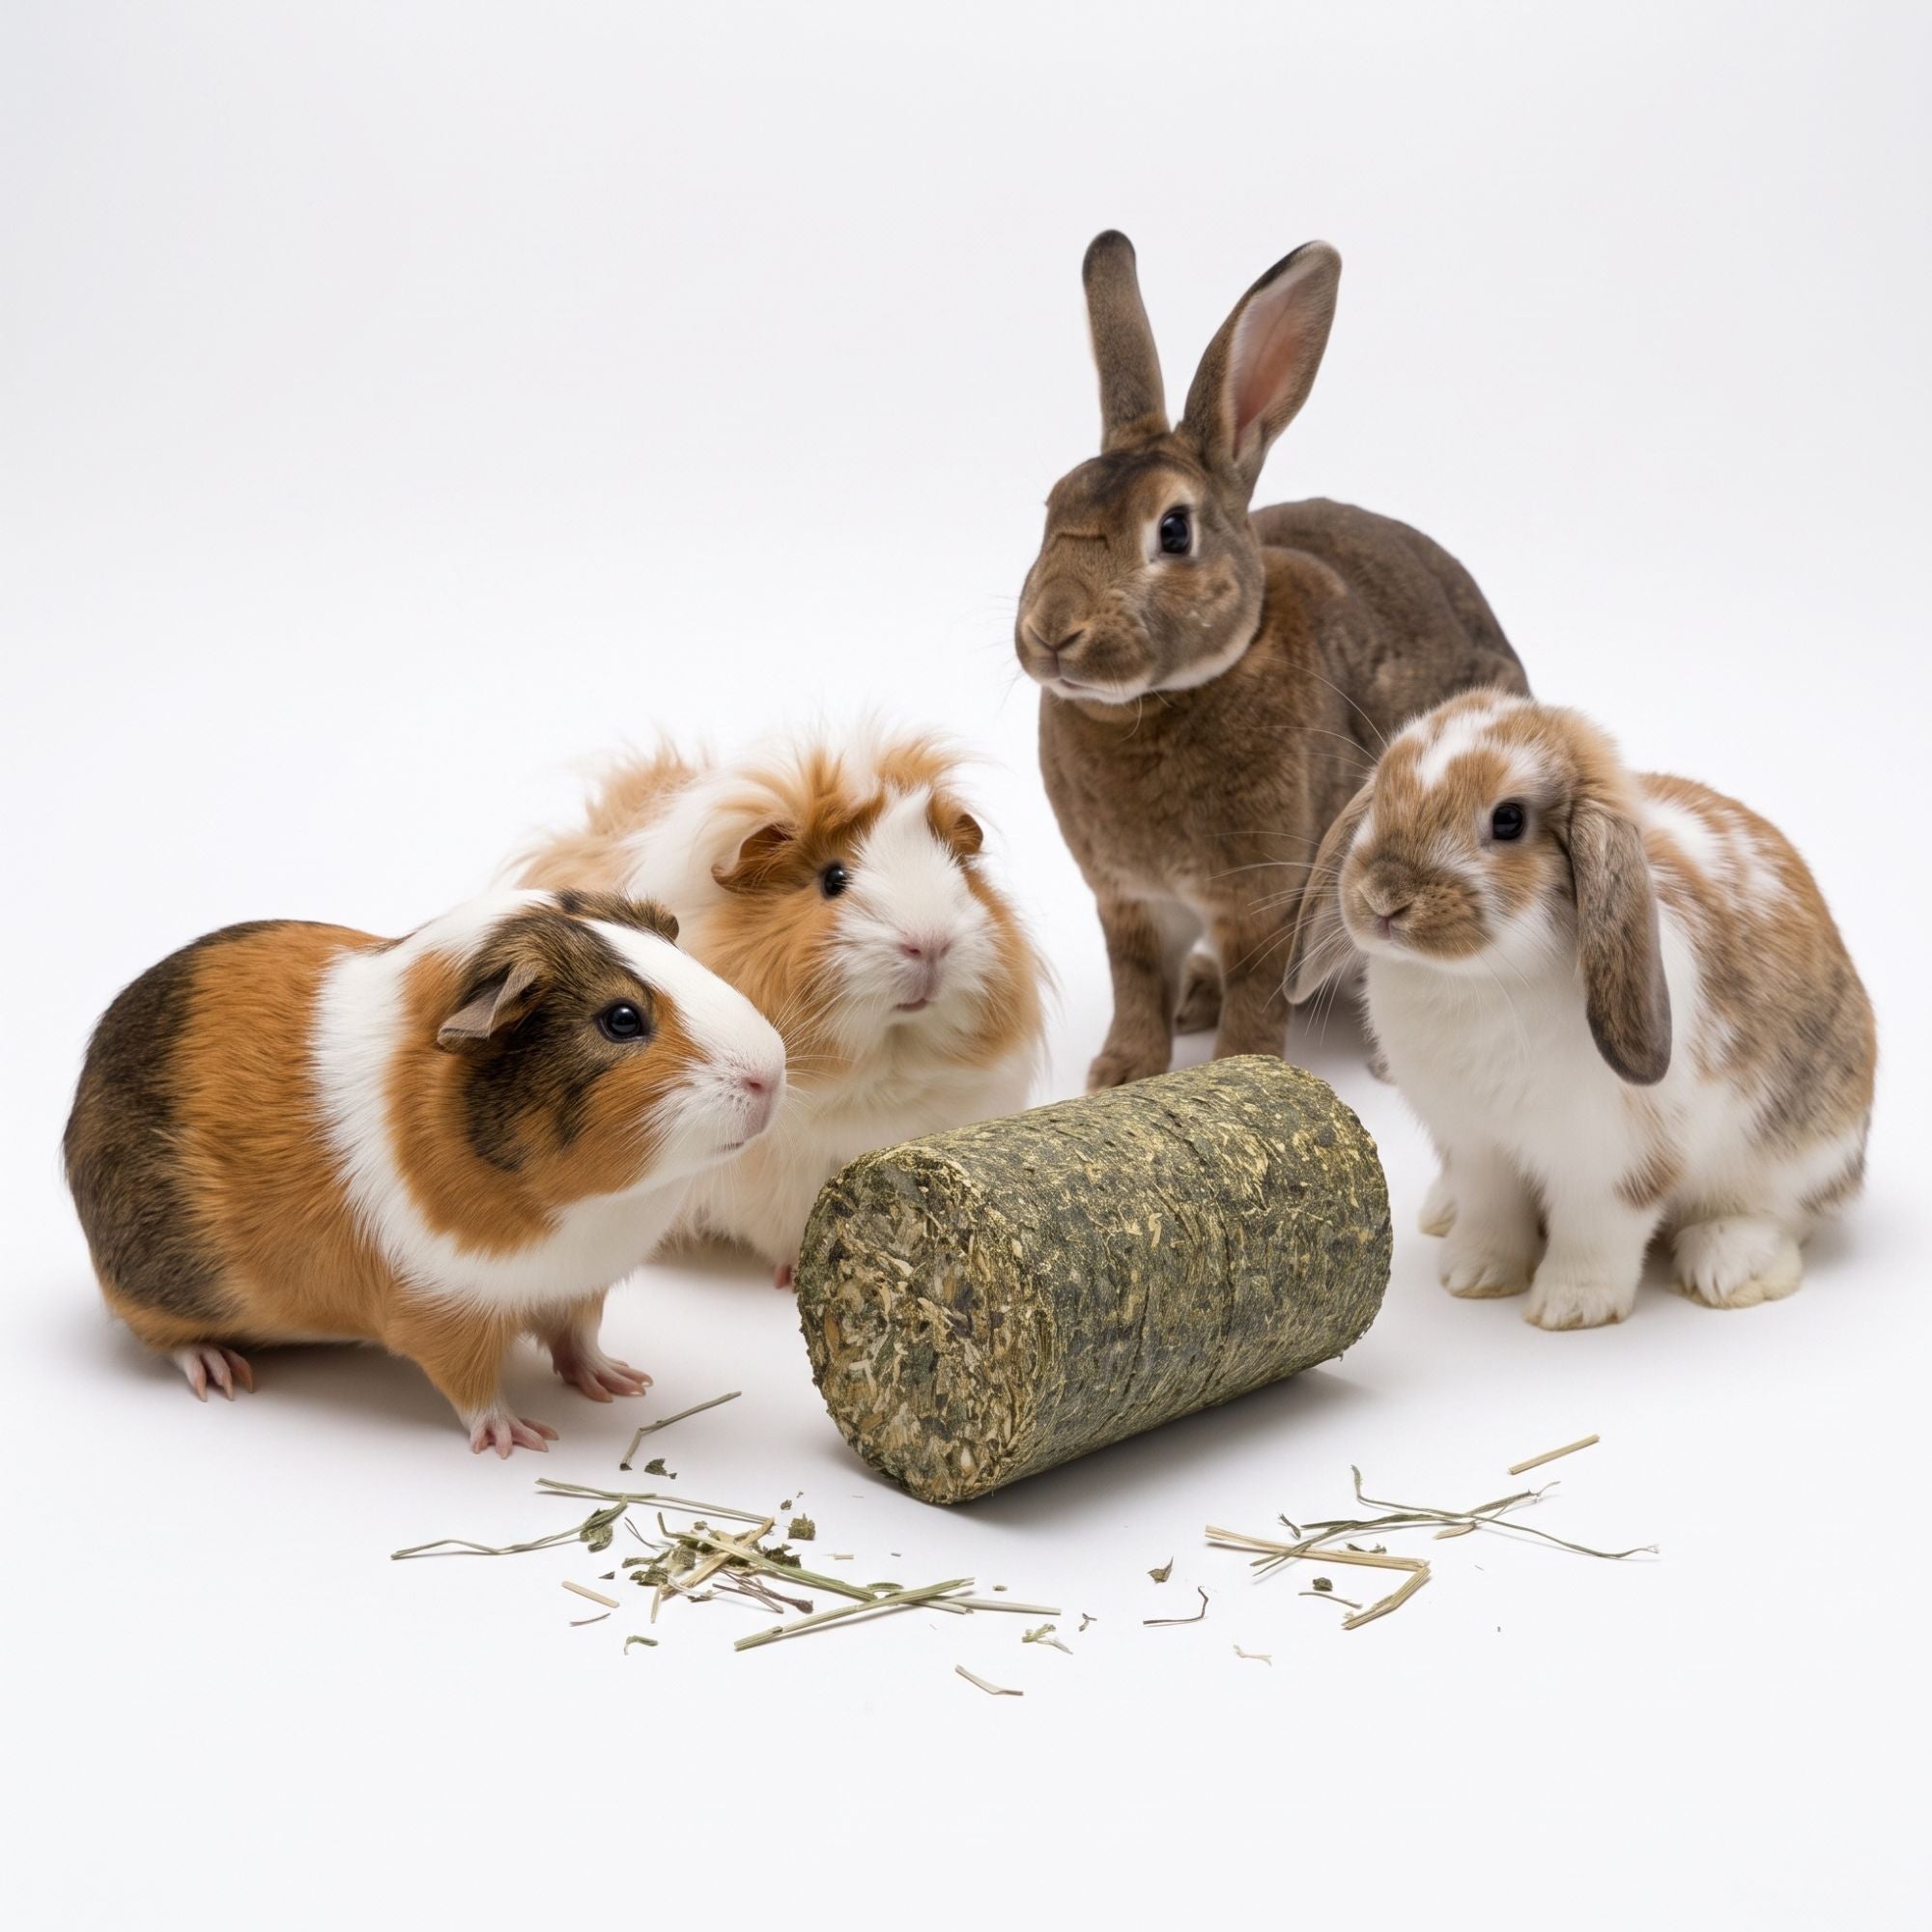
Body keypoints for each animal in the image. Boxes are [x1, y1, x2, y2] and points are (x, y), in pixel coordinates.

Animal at [63, 889, 787, 1451]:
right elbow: (471, 1387)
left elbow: (578, 1340)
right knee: (161, 1338)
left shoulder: (580, 1287)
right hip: (155, 1286)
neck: (584, 1210)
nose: (771, 1072)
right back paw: (221, 1372)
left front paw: (621, 1384)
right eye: (622, 1019)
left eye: (687, 962)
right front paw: (520, 1438)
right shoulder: (440, 1310)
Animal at [1015, 230, 1528, 1092]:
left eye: (1174, 530)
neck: (1157, 703)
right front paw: (1122, 1073)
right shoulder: (1129, 903)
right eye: (1053, 508)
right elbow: (1135, 984)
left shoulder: (1265, 898)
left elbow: (1256, 988)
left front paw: (1236, 1064)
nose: (1053, 630)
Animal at [1288, 691, 1877, 1329]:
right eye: (1382, 793)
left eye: (1509, 819)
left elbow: (1595, 1232)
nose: (1382, 898)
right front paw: (1474, 1275)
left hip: (1797, 1150)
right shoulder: (1474, 1144)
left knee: (1782, 1214)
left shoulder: (1611, 1162)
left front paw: (1571, 1307)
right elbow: (1491, 1211)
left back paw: (1728, 1268)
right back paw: (1441, 1213)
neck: (1479, 980)